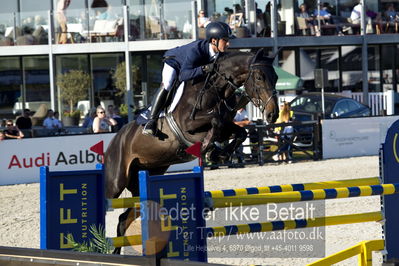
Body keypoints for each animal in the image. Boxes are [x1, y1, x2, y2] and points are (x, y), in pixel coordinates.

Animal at [104, 49, 280, 251]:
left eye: (275, 77)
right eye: (259, 77)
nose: (273, 114)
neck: (214, 88)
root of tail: (116, 138)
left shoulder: (227, 124)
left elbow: (238, 131)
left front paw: (219, 153)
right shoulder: (188, 125)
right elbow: (216, 121)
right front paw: (209, 148)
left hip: (145, 178)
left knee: (123, 220)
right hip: (116, 182)